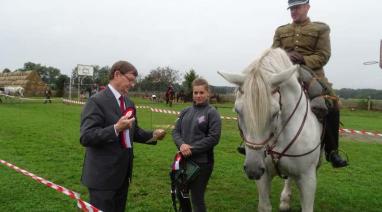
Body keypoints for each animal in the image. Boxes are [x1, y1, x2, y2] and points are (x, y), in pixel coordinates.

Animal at [218, 48, 322, 212]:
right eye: (237, 111)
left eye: (275, 112)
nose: (253, 169)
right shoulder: (263, 176)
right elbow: (264, 206)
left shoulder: (308, 178)